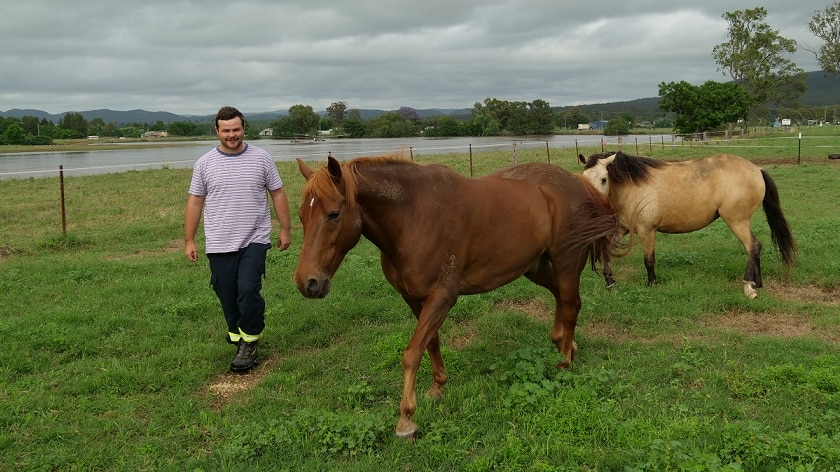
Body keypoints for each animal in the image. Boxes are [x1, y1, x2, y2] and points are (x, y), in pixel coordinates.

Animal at [294, 156, 616, 438]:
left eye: (333, 214)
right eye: (301, 215)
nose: (307, 282)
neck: (413, 218)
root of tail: (578, 183)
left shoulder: (442, 297)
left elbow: (412, 353)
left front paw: (406, 420)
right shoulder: (414, 298)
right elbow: (430, 342)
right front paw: (438, 387)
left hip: (566, 262)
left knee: (572, 304)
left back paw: (563, 361)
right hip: (535, 266)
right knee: (561, 298)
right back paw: (565, 344)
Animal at [576, 151, 796, 298]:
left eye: (604, 179)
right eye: (584, 179)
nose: (590, 208)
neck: (632, 187)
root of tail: (757, 169)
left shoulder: (647, 231)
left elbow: (649, 260)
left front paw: (652, 283)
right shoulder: (623, 228)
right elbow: (606, 249)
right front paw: (609, 281)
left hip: (737, 221)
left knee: (753, 246)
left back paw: (748, 287)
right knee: (755, 248)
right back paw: (757, 283)